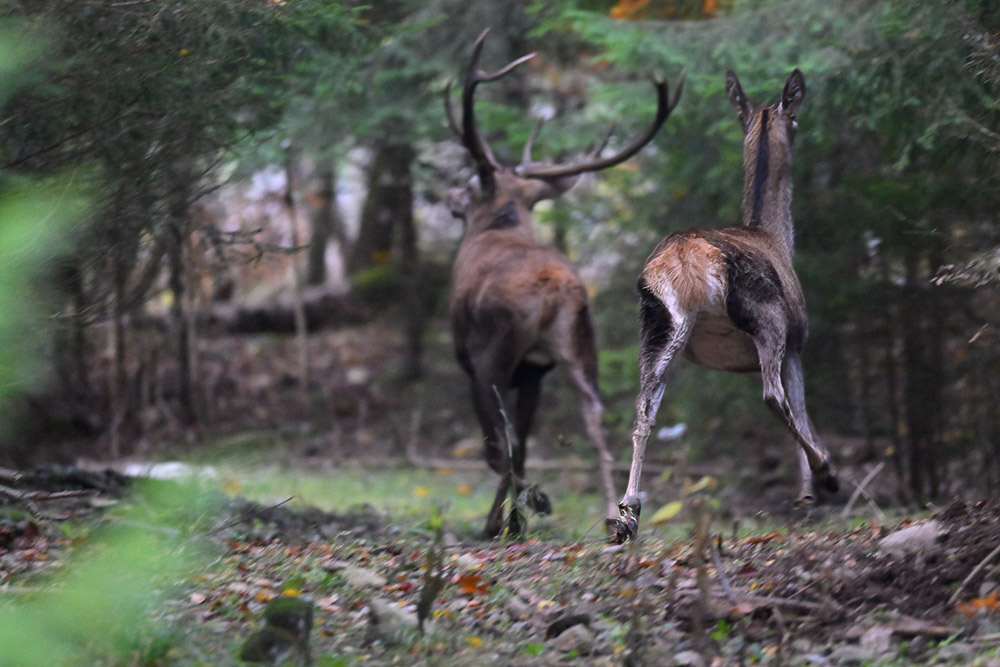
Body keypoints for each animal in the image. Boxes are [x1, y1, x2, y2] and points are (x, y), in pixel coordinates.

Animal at [444, 30, 683, 538]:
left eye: (471, 184)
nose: (450, 195)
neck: (499, 228)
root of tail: (557, 287)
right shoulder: (534, 372)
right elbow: (524, 439)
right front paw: (516, 517)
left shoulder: (471, 358)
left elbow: (501, 443)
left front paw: (509, 518)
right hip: (579, 343)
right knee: (596, 416)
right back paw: (613, 515)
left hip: (492, 350)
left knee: (500, 442)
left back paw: (513, 515)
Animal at [609, 68, 839, 544]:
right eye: (795, 118)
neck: (775, 236)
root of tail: (686, 259)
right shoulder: (798, 340)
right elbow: (800, 407)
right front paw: (810, 492)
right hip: (767, 317)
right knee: (772, 395)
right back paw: (828, 472)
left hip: (659, 324)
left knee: (643, 410)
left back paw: (628, 514)